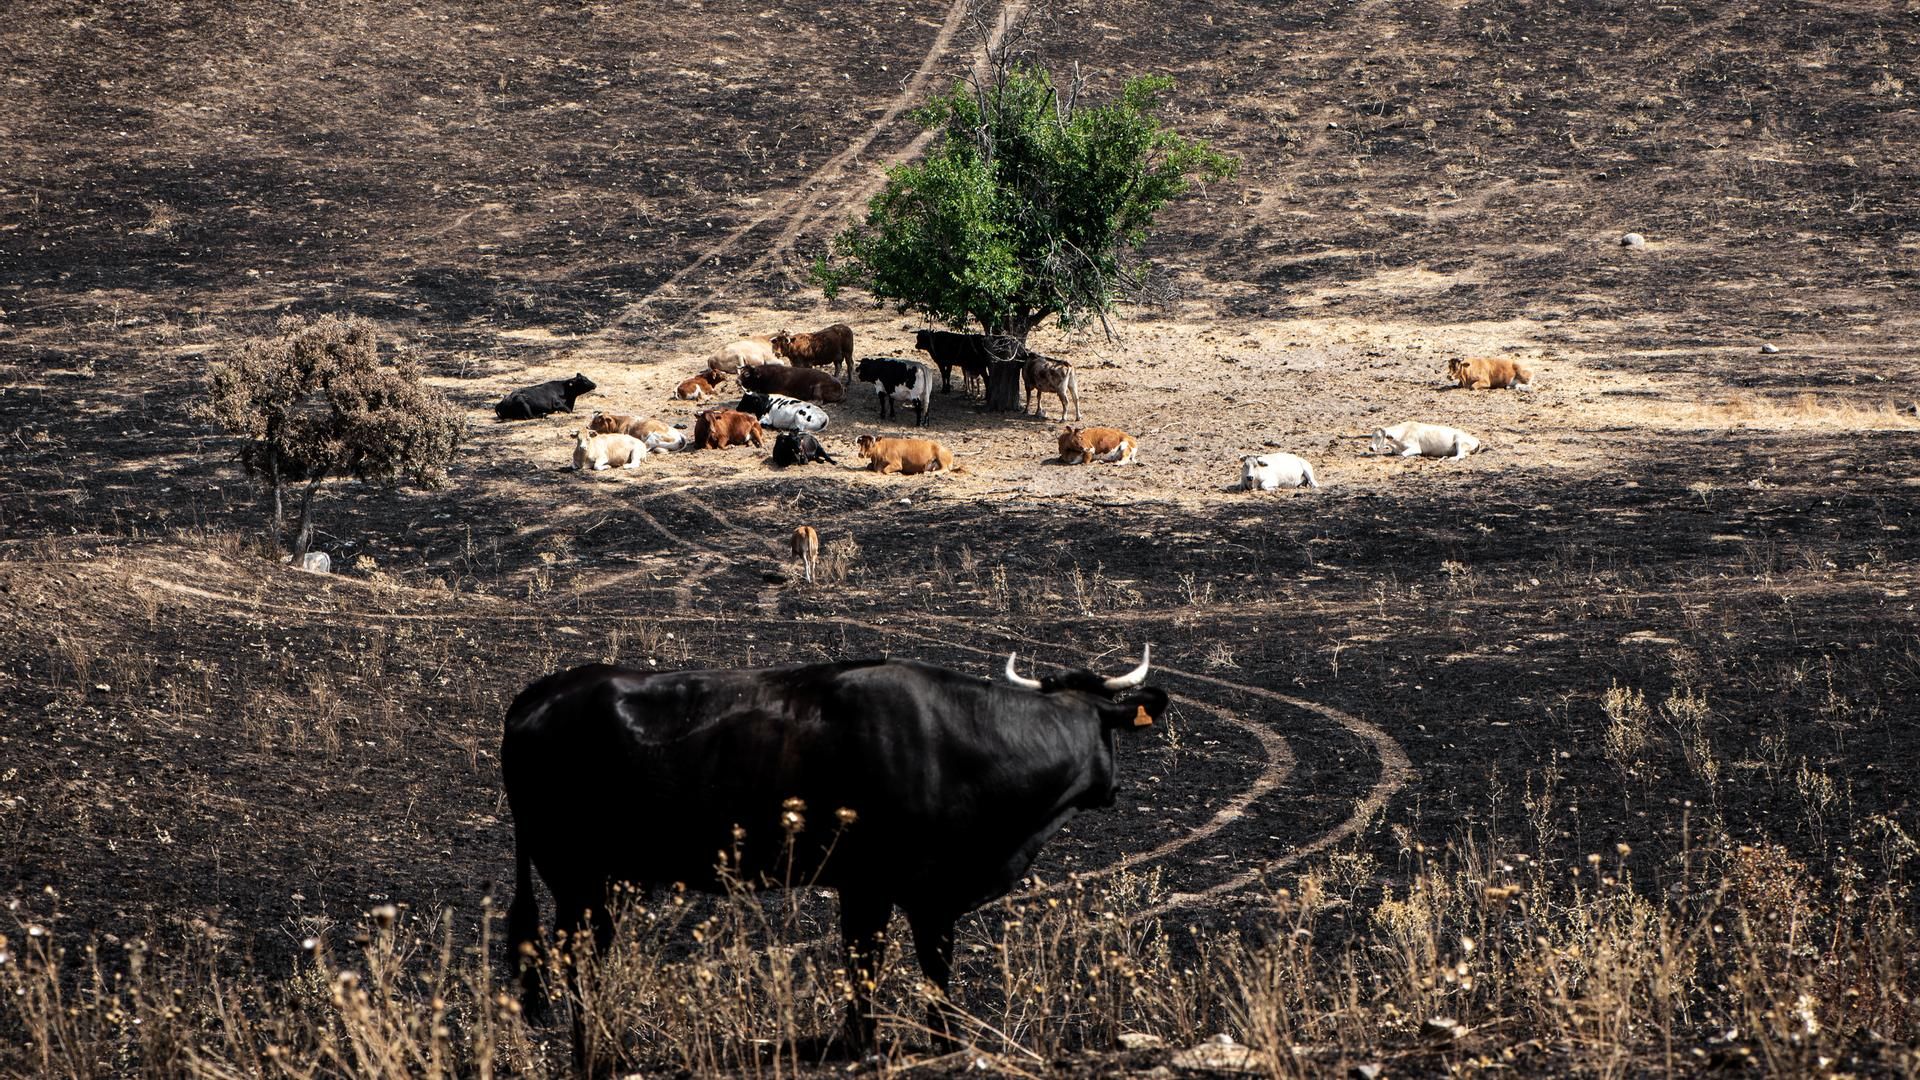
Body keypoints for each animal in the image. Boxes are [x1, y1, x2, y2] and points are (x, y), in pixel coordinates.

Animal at [502, 647, 1167, 1061]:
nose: (1112, 790)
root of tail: (543, 691)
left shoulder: (882, 889)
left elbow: (875, 966)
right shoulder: (904, 889)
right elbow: (913, 969)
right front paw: (931, 1044)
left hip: (599, 881)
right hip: (574, 875)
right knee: (574, 963)